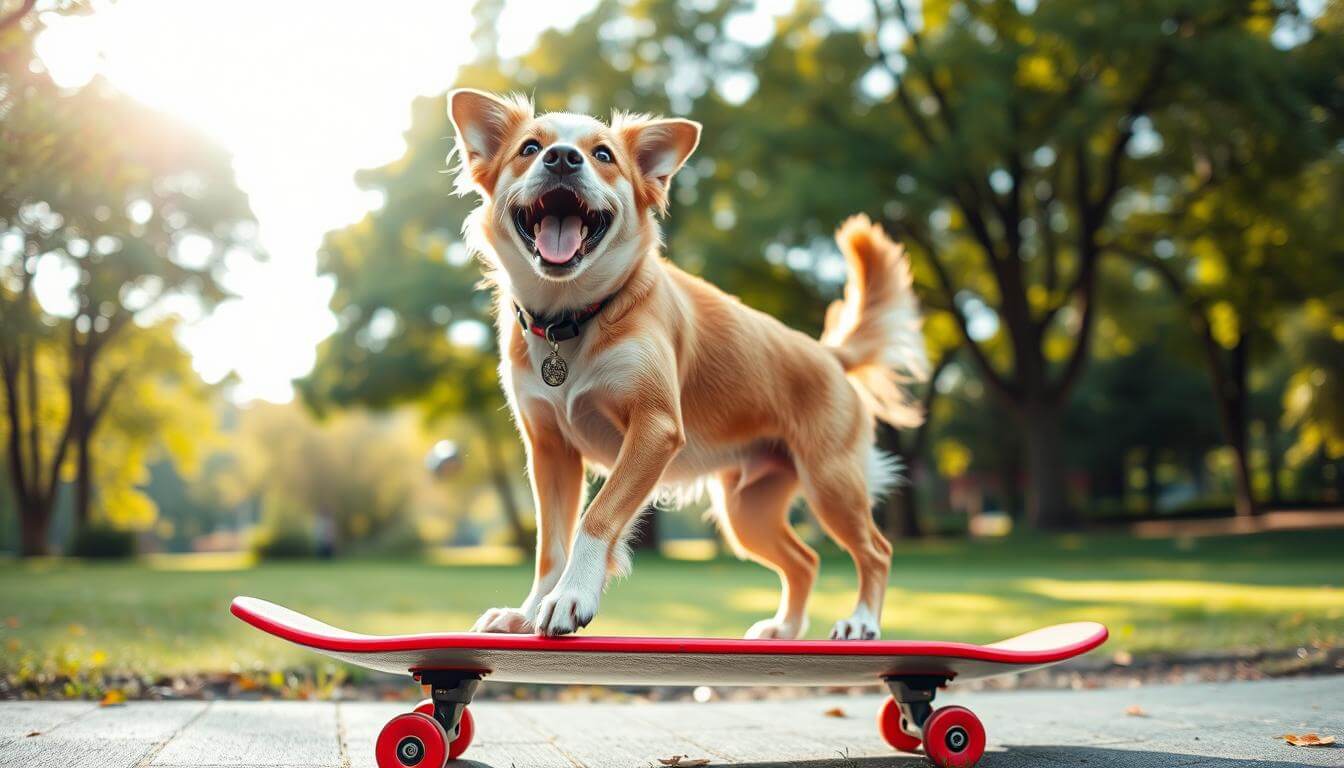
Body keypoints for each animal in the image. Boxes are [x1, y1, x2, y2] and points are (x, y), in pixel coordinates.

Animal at [448, 88, 924, 642]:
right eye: (529, 148)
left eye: (603, 154)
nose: (563, 158)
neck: (573, 317)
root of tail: (828, 354)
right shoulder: (550, 451)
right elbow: (551, 545)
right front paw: (527, 613)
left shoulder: (654, 429)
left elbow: (596, 518)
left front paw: (570, 597)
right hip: (748, 511)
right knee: (805, 560)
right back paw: (785, 628)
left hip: (832, 485)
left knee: (876, 550)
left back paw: (861, 619)